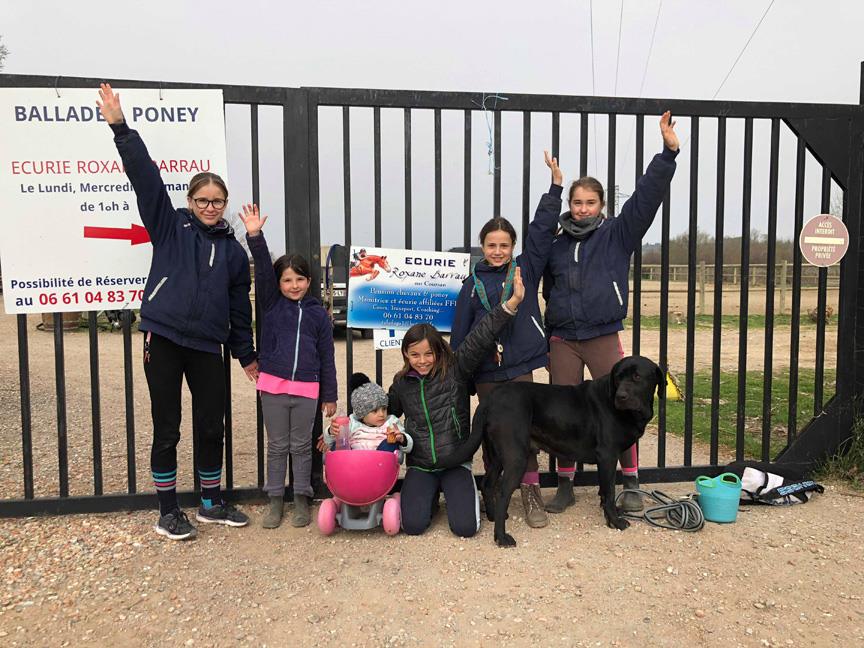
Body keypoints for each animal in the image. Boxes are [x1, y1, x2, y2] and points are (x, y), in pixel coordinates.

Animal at [436, 354, 664, 548]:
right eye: (618, 378)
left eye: (636, 377)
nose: (621, 396)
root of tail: (490, 399)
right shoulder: (607, 455)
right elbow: (608, 492)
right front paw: (615, 521)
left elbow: (605, 490)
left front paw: (613, 513)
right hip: (516, 456)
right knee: (502, 494)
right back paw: (501, 537)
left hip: (498, 455)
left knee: (487, 483)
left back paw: (492, 517)